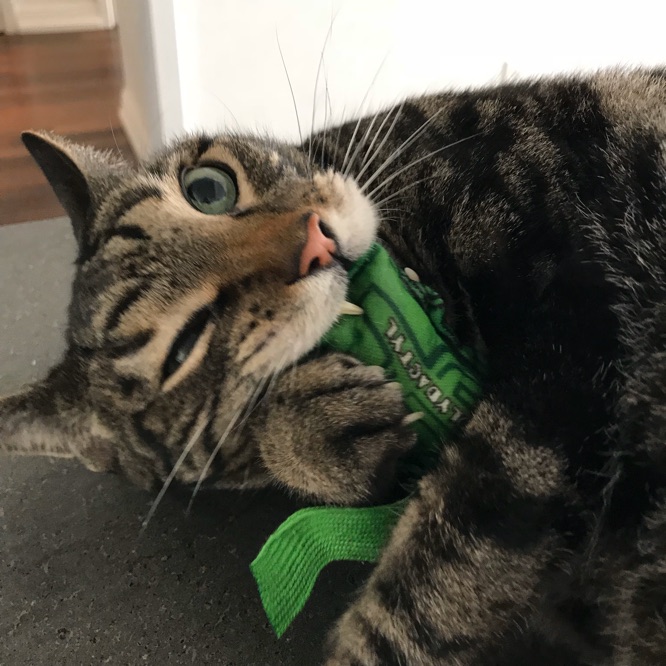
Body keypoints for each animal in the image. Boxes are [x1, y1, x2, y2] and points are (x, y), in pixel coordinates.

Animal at [1, 68, 664, 664]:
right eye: (186, 345)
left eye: (207, 188)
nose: (315, 243)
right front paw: (309, 426)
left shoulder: (563, 351)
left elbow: (438, 578)